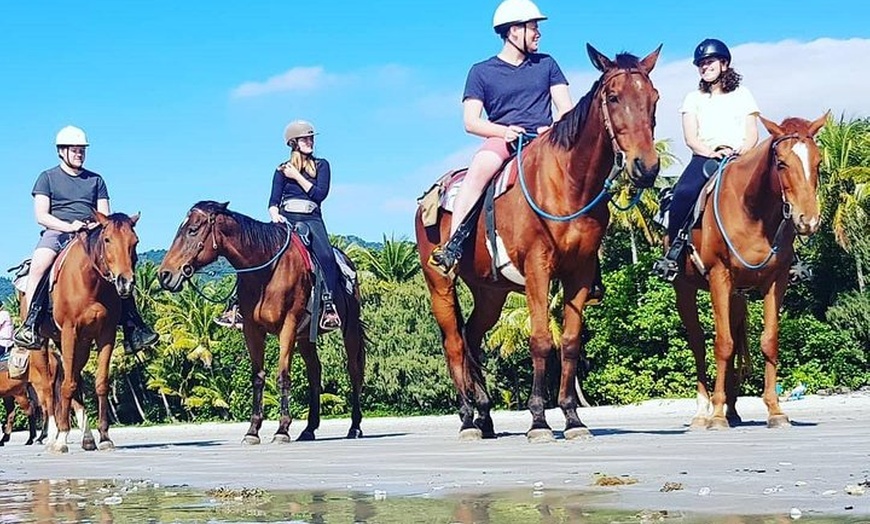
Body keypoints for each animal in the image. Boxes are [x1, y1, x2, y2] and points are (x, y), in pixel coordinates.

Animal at [41, 211, 141, 452]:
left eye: (135, 242)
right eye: (107, 240)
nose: (125, 282)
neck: (90, 282)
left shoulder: (106, 334)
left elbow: (101, 382)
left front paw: (104, 436)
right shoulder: (69, 331)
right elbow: (67, 386)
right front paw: (62, 438)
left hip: (81, 345)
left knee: (74, 379)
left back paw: (87, 438)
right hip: (44, 347)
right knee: (51, 390)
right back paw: (53, 437)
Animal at [158, 203, 366, 444]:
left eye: (192, 230)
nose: (164, 275)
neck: (267, 271)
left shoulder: (288, 325)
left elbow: (283, 375)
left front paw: (282, 429)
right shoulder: (252, 329)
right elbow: (257, 378)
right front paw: (252, 430)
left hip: (349, 329)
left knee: (353, 371)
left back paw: (355, 427)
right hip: (306, 337)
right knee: (315, 372)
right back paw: (309, 429)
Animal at [414, 45, 660, 440]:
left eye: (654, 98)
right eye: (613, 96)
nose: (646, 167)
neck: (567, 184)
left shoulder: (579, 273)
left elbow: (570, 343)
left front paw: (573, 418)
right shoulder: (537, 269)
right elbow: (541, 340)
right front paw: (539, 420)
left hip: (490, 292)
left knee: (471, 337)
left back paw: (485, 415)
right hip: (439, 284)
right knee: (453, 343)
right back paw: (468, 418)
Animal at [676, 112, 828, 428]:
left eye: (818, 162)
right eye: (781, 163)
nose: (807, 220)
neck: (753, 212)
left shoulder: (776, 281)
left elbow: (768, 341)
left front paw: (775, 410)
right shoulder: (719, 277)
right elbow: (722, 343)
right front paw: (716, 414)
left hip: (736, 296)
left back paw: (733, 410)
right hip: (684, 289)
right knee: (698, 342)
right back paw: (703, 411)